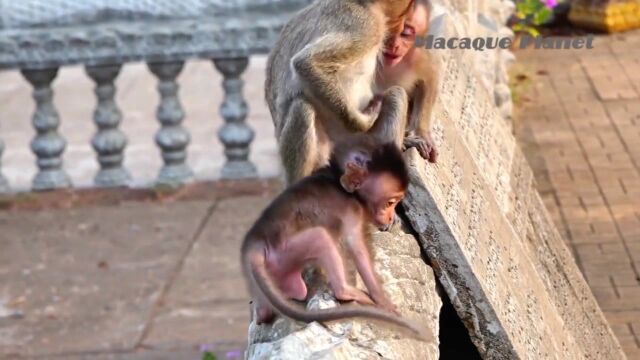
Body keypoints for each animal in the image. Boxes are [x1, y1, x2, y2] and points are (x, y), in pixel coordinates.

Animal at [240, 136, 430, 340]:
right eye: (390, 202)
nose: (388, 217)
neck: (339, 181)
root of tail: (255, 244)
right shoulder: (353, 211)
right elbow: (356, 248)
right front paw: (383, 301)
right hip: (283, 253)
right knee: (320, 237)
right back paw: (345, 292)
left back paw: (264, 311)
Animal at [264, 0, 416, 184]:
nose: (402, 28)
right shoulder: (364, 25)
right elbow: (307, 63)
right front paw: (365, 120)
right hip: (321, 153)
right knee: (301, 107)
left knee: (396, 94)